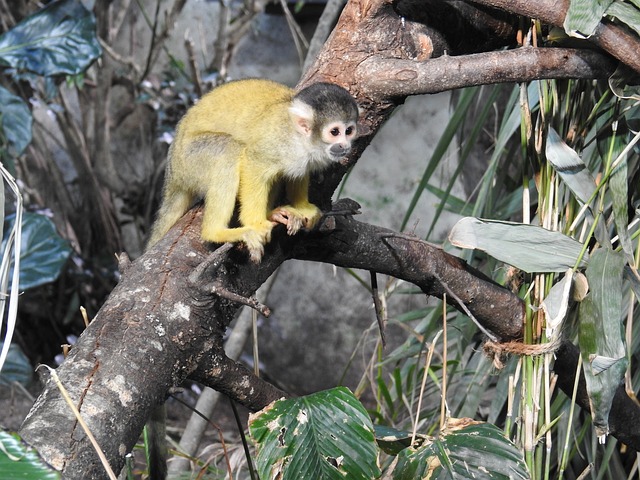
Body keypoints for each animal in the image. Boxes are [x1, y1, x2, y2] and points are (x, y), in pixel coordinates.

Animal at [148, 78, 362, 260]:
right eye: (334, 132)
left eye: (349, 131)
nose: (344, 145)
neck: (303, 140)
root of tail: (172, 172)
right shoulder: (279, 142)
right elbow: (253, 162)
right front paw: (256, 223)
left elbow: (297, 173)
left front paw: (303, 208)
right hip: (189, 161)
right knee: (229, 150)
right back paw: (216, 232)